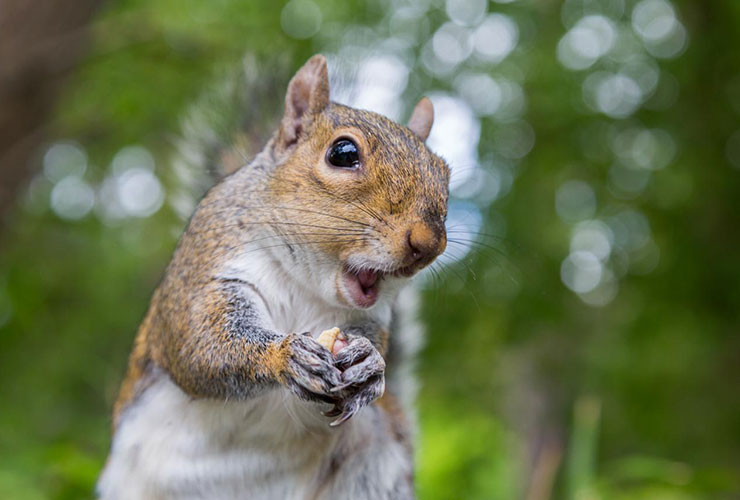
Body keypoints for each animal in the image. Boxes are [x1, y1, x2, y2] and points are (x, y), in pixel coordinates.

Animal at [97, 54, 450, 500]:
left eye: (445, 172)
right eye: (343, 152)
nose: (428, 243)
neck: (305, 283)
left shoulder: (368, 316)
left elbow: (373, 341)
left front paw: (370, 364)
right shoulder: (205, 271)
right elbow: (198, 343)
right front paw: (284, 355)